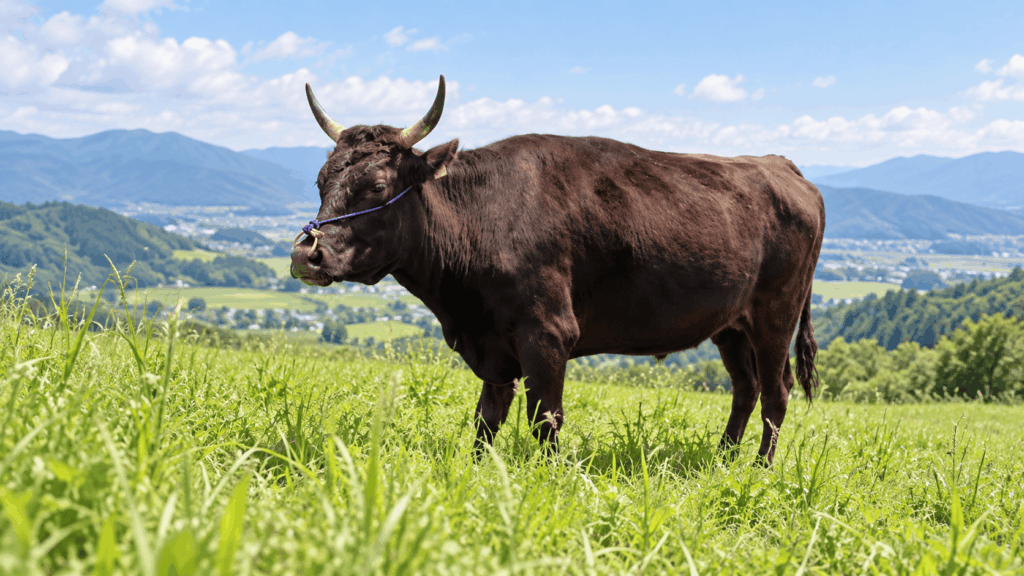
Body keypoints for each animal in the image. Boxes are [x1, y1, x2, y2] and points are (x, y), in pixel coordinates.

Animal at [291, 75, 824, 465]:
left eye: (377, 187)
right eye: (320, 181)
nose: (304, 254)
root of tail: (780, 164)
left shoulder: (547, 332)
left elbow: (544, 418)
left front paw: (548, 479)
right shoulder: (493, 340)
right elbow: (486, 418)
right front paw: (474, 474)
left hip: (777, 314)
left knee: (776, 393)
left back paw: (758, 469)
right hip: (730, 325)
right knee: (745, 389)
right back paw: (722, 461)